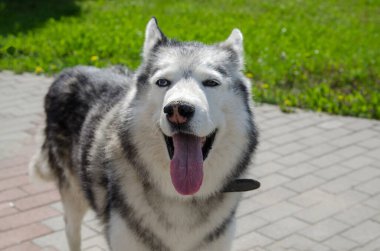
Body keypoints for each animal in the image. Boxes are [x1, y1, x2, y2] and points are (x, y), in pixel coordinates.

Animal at [29, 18, 258, 251]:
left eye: (211, 82)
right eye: (163, 82)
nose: (178, 110)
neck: (181, 198)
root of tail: (67, 70)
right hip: (74, 197)